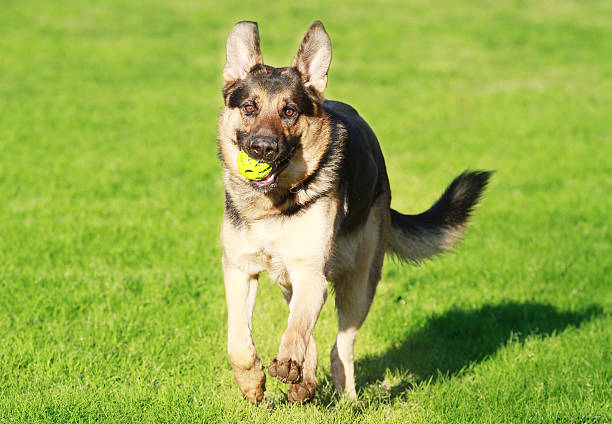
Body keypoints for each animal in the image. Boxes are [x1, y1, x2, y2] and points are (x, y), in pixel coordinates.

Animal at [218, 20, 490, 404]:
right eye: (249, 108)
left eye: (289, 111)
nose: (263, 148)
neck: (275, 203)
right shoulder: (241, 269)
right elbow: (238, 342)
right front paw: (252, 383)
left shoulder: (310, 272)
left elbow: (297, 328)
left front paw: (287, 361)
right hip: (293, 283)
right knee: (310, 335)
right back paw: (305, 382)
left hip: (358, 286)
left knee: (339, 347)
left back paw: (344, 397)